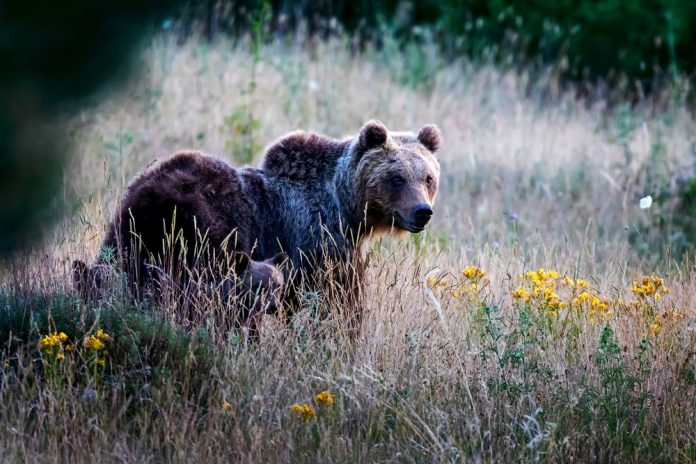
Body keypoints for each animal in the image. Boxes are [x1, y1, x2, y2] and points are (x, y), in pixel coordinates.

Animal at [88, 120, 441, 333]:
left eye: (427, 177)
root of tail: (153, 194)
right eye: (396, 177)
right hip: (208, 231)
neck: (345, 206)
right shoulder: (318, 240)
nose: (422, 212)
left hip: (131, 229)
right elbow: (336, 301)